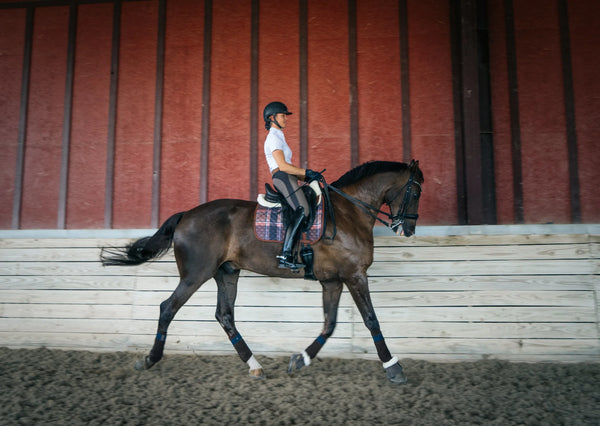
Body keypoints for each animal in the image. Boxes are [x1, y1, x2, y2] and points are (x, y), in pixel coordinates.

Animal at [101, 159, 424, 382]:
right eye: (416, 191)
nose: (407, 230)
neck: (349, 213)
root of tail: (185, 215)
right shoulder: (354, 275)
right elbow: (371, 320)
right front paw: (393, 367)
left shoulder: (332, 281)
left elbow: (329, 325)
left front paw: (300, 359)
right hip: (195, 275)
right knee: (168, 308)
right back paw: (149, 359)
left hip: (227, 273)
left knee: (225, 316)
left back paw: (254, 366)